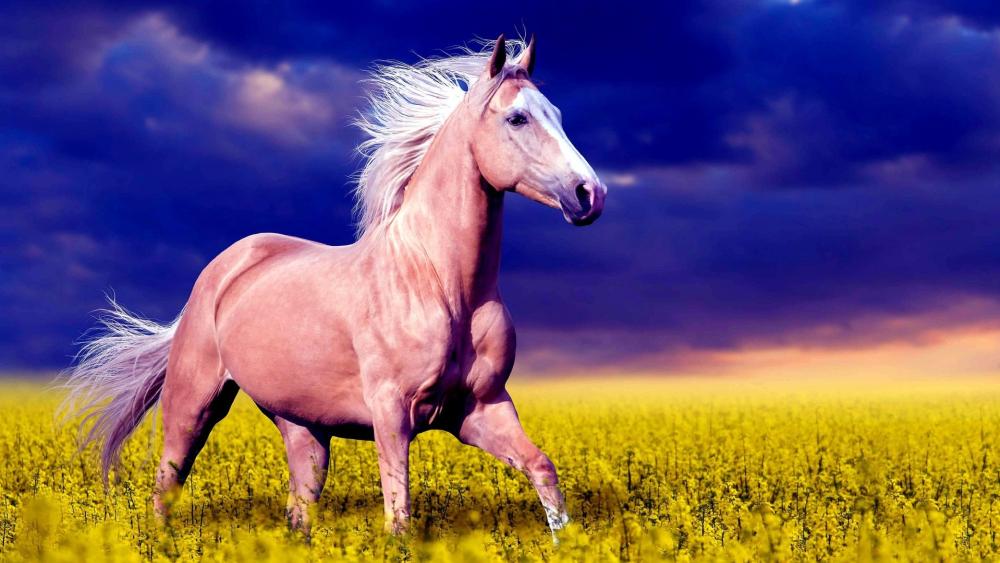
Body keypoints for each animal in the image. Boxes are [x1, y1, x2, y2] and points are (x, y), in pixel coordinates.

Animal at [63, 34, 607, 537]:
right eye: (517, 119)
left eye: (557, 114)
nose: (589, 194)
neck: (442, 285)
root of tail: (223, 269)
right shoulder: (392, 413)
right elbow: (399, 516)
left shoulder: (481, 409)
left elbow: (542, 469)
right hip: (193, 403)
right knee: (166, 484)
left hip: (304, 429)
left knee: (299, 508)